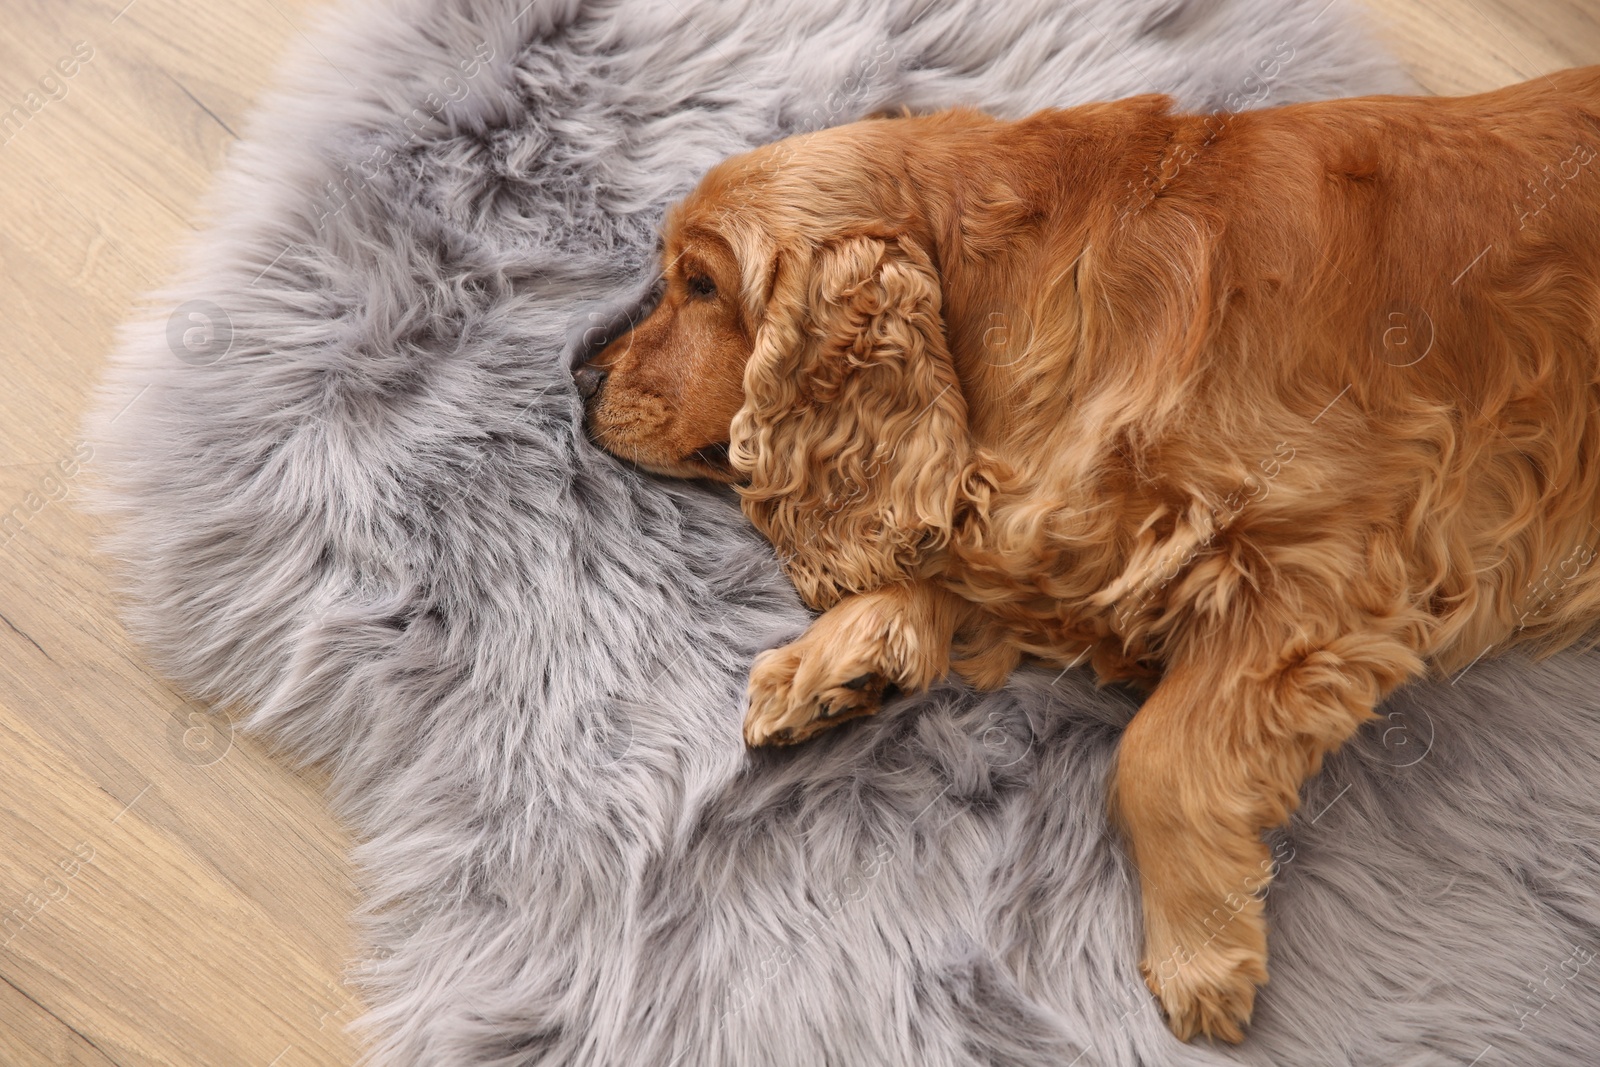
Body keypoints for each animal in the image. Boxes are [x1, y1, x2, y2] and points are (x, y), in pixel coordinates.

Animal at [572, 70, 1600, 1049]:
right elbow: (952, 551)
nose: (577, 372)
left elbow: (1155, 754)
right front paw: (837, 660)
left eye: (702, 286)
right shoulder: (1061, 526)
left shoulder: (1330, 566)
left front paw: (1199, 948)